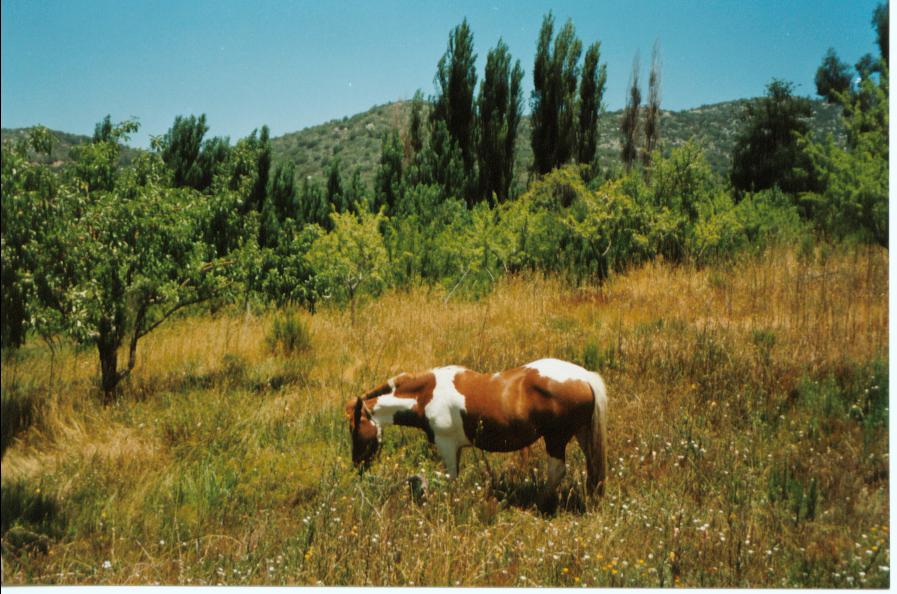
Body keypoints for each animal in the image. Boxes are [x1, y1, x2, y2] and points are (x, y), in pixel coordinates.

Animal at [344, 358, 608, 492]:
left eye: (354, 430)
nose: (358, 466)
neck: (426, 395)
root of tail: (584, 376)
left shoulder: (446, 445)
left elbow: (451, 480)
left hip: (556, 439)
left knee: (556, 472)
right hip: (582, 434)